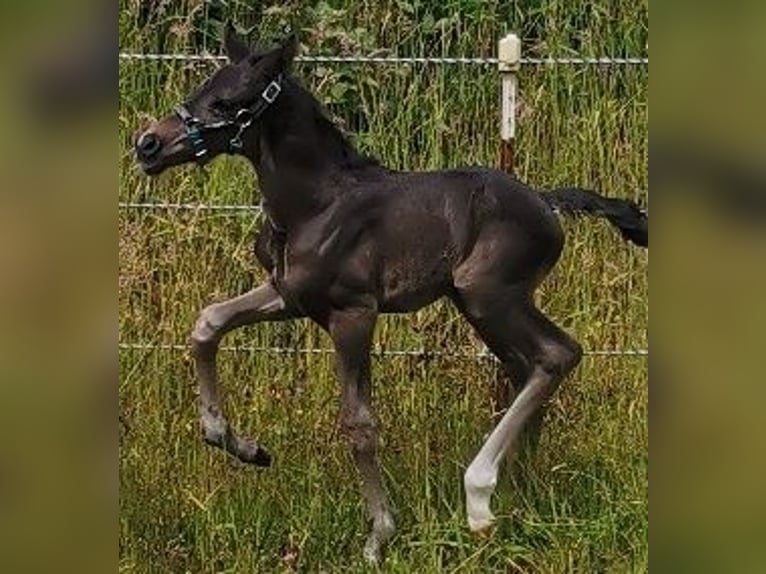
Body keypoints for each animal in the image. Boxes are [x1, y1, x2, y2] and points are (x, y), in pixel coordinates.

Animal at [135, 29, 652, 564]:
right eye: (202, 87)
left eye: (226, 102)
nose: (148, 144)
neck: (314, 205)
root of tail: (547, 203)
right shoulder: (290, 298)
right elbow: (208, 323)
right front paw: (238, 444)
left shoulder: (353, 313)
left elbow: (359, 424)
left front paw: (379, 536)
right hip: (481, 304)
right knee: (527, 366)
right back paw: (519, 493)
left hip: (489, 296)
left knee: (556, 354)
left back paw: (480, 496)